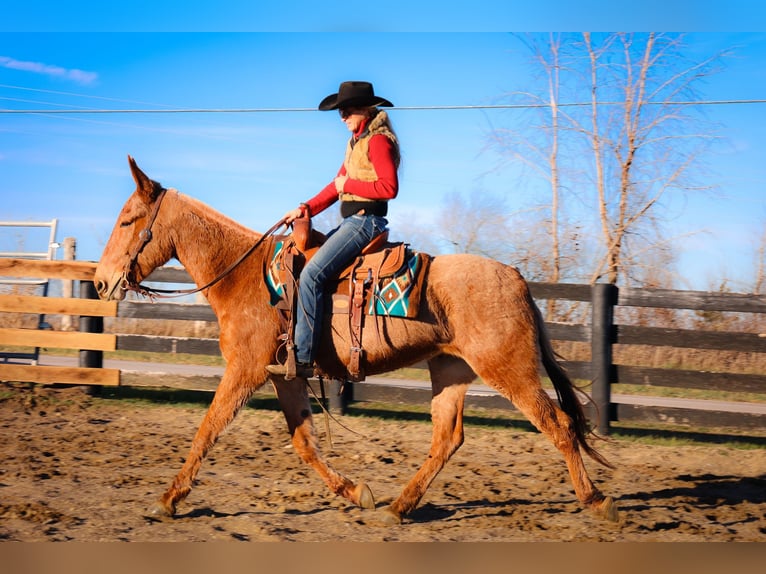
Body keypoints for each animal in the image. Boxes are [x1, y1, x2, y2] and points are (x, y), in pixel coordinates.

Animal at [94, 158, 616, 528]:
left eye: (128, 221)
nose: (101, 282)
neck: (244, 277)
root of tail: (515, 275)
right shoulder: (285, 375)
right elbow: (304, 444)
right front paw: (356, 492)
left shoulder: (245, 370)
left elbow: (208, 429)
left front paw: (169, 498)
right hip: (451, 370)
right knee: (448, 438)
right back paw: (398, 507)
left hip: (511, 370)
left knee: (558, 426)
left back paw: (596, 500)